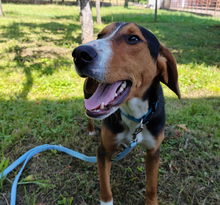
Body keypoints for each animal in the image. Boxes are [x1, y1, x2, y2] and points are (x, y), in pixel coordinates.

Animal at [72, 22, 180, 205]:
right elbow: (106, 190)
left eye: (133, 38)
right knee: (89, 115)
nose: (79, 53)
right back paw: (91, 130)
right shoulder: (103, 152)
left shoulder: (153, 153)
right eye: (100, 36)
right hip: (88, 92)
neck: (135, 115)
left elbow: (151, 188)